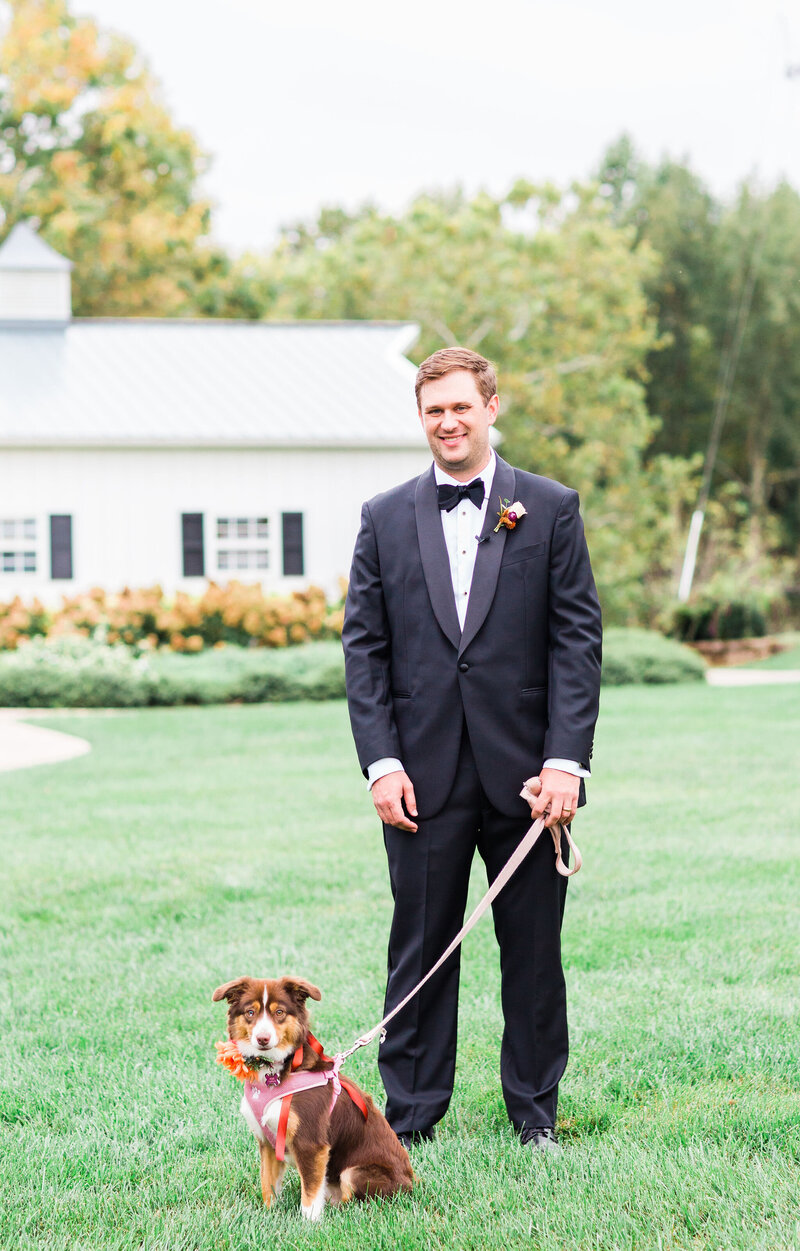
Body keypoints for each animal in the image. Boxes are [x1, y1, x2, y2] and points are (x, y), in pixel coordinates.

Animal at [212, 970, 413, 1215]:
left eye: (279, 1012)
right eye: (250, 1012)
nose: (263, 1039)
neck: (278, 1069)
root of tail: (412, 1183)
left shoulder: (311, 1143)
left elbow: (309, 1194)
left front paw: (308, 1221)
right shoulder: (268, 1143)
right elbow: (267, 1184)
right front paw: (269, 1213)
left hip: (354, 1172)